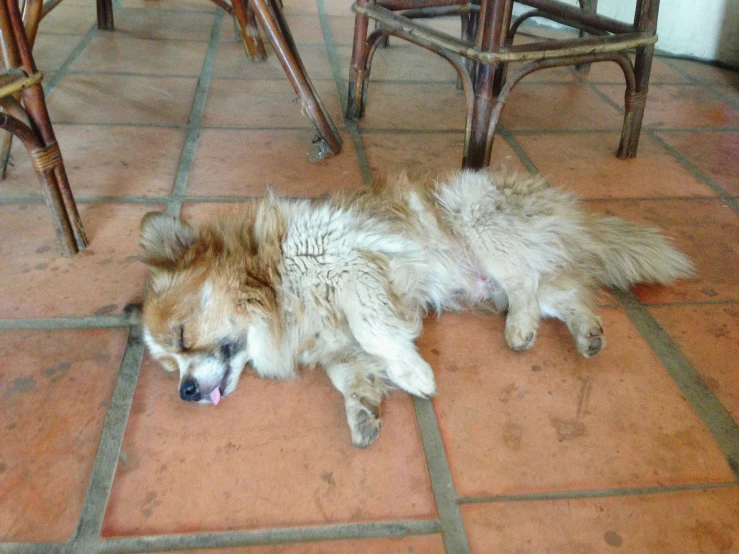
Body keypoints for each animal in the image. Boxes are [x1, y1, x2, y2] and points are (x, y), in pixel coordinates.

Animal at [136, 166, 696, 446]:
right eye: (169, 367)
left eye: (182, 336)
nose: (185, 392)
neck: (274, 284)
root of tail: (570, 213)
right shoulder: (336, 345)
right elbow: (349, 372)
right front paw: (364, 411)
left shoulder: (349, 265)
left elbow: (376, 331)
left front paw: (414, 374)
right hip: (503, 277)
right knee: (564, 292)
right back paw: (587, 334)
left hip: (476, 220)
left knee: (526, 282)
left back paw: (520, 329)